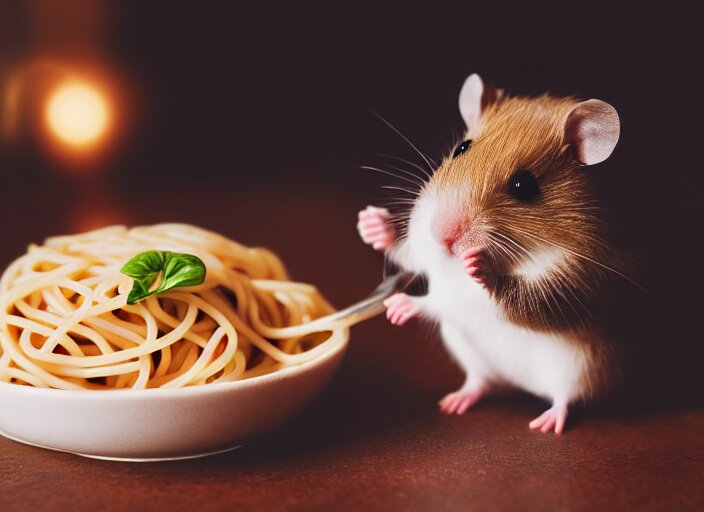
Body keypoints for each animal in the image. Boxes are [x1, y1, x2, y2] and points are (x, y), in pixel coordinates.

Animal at [360, 73, 624, 432]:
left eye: (524, 186)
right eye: (461, 148)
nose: (441, 233)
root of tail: (520, 385)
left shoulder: (569, 284)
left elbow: (456, 300)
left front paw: (401, 306)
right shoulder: (426, 257)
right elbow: (410, 254)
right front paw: (373, 224)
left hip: (579, 370)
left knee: (564, 399)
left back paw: (547, 422)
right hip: (469, 354)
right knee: (480, 382)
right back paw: (455, 402)